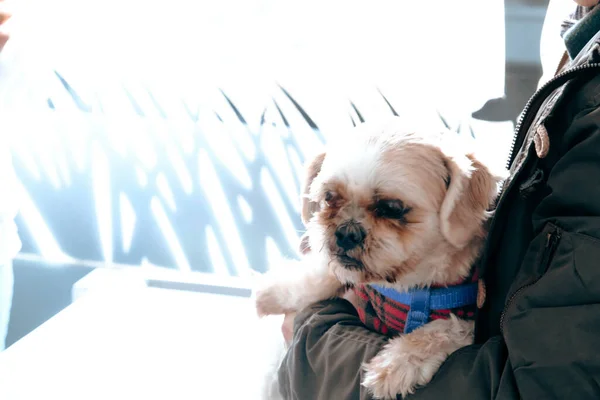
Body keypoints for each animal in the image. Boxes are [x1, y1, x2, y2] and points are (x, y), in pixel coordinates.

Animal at [255, 117, 504, 398]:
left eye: (392, 209)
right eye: (329, 197)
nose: (346, 232)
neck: (409, 288)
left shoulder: (472, 323)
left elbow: (444, 328)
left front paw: (395, 364)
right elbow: (321, 275)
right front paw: (274, 291)